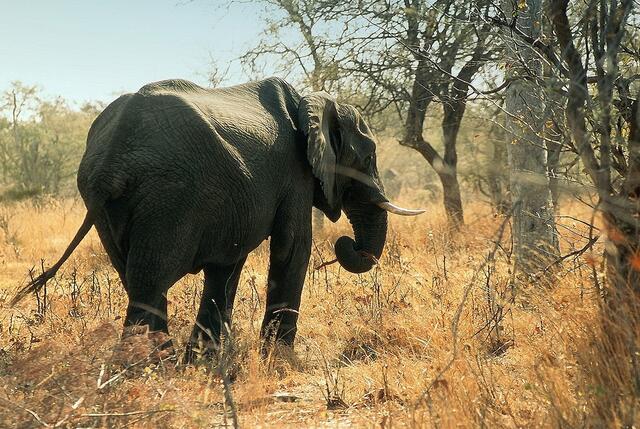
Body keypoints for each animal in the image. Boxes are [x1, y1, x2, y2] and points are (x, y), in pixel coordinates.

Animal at [13, 77, 424, 360]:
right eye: (368, 156)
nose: (346, 243)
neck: (315, 101)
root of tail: (109, 159)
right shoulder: (295, 172)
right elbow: (293, 247)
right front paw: (280, 360)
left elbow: (227, 264)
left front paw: (204, 360)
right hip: (169, 196)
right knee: (149, 281)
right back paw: (146, 369)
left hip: (115, 211)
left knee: (135, 278)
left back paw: (161, 362)